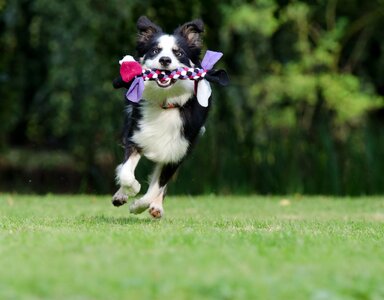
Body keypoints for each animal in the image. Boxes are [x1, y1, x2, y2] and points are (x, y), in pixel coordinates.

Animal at [111, 16, 225, 218]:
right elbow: (125, 172)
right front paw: (131, 189)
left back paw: (156, 207)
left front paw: (138, 205)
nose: (165, 60)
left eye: (178, 53)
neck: (166, 103)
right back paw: (121, 195)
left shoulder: (177, 150)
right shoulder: (136, 135)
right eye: (155, 51)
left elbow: (157, 187)